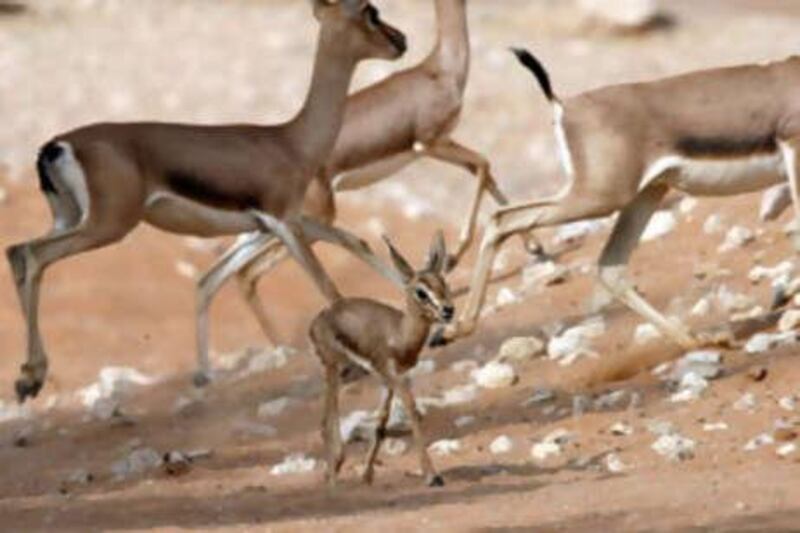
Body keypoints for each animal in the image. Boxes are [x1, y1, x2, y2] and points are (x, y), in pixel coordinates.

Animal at [6, 0, 406, 400]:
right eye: (370, 12)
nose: (400, 41)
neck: (292, 142)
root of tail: (55, 146)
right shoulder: (284, 222)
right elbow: (324, 281)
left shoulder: (280, 223)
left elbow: (355, 242)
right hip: (106, 226)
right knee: (34, 254)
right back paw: (31, 376)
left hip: (70, 219)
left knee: (17, 252)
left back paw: (29, 376)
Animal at [310, 232, 454, 486]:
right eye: (421, 292)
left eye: (443, 283)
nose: (448, 310)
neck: (400, 334)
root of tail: (320, 318)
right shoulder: (391, 375)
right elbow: (411, 409)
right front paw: (432, 476)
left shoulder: (392, 379)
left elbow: (381, 422)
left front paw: (367, 475)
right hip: (332, 365)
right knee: (328, 417)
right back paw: (333, 476)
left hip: (350, 372)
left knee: (325, 417)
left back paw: (333, 470)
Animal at [440, 50, 800, 348]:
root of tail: (563, 104)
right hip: (601, 196)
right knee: (504, 218)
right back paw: (455, 328)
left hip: (644, 194)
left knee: (609, 266)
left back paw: (698, 340)